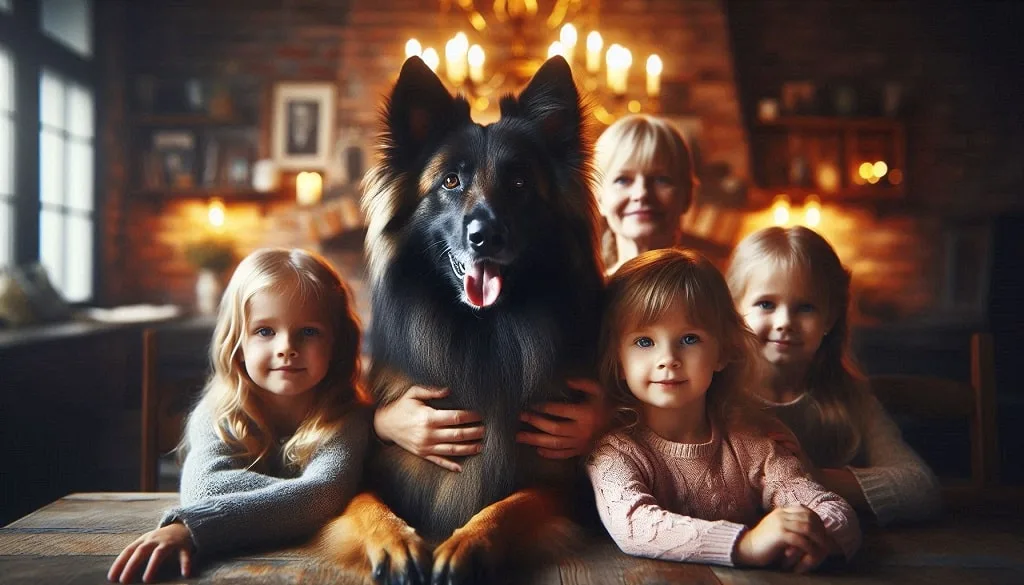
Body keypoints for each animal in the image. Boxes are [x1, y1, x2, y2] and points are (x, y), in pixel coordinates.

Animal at [319, 56, 602, 585]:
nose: (485, 235)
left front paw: (468, 543)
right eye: (450, 181)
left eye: (519, 184)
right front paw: (396, 542)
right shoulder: (373, 472)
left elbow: (513, 504)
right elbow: (366, 504)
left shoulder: (559, 484)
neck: (483, 335)